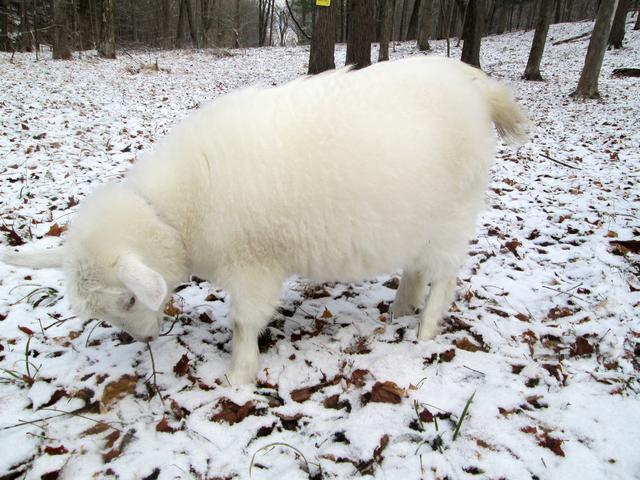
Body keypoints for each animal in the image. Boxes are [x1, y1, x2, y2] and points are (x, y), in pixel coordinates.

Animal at [2, 57, 529, 385]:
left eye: (130, 299)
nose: (148, 340)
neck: (174, 214)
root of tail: (475, 86)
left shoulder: (253, 265)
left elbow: (243, 320)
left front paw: (239, 375)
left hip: (453, 214)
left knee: (445, 276)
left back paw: (423, 331)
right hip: (420, 219)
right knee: (418, 267)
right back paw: (400, 309)